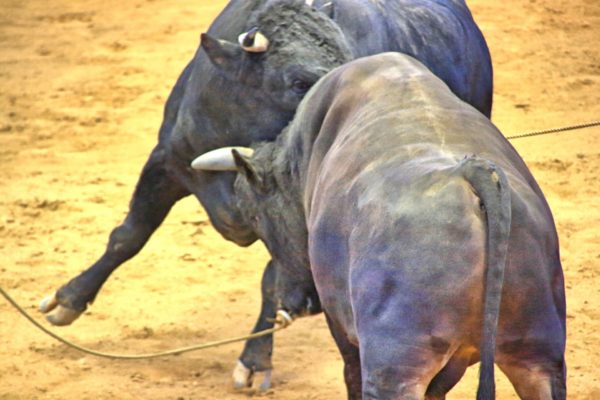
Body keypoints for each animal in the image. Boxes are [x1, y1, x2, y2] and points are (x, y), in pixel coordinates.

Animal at [41, 0, 492, 388]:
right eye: (298, 81)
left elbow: (273, 279)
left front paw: (255, 361)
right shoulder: (167, 160)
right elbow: (129, 235)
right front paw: (67, 299)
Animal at [206, 52, 564, 396]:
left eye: (256, 216)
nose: (293, 302)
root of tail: (467, 172)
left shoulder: (342, 326)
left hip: (394, 369)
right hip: (540, 359)